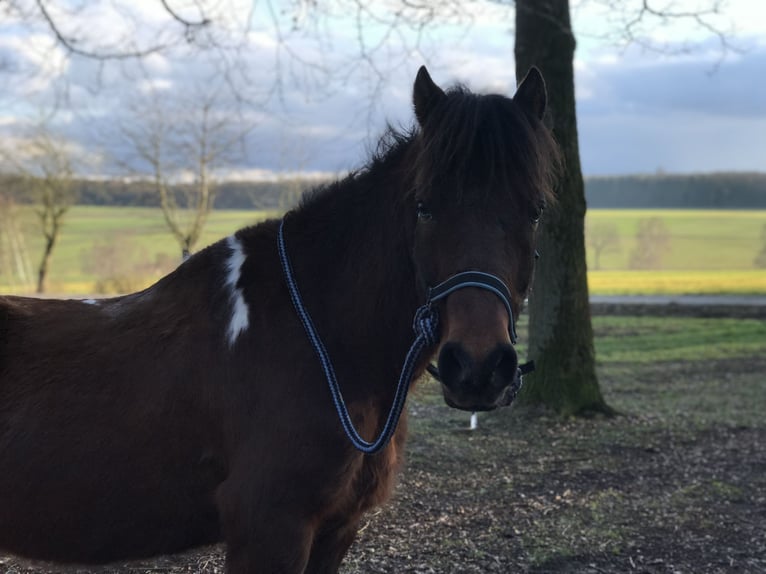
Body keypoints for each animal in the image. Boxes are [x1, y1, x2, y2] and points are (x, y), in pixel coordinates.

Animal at [0, 68, 560, 574]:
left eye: (534, 211)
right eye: (424, 208)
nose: (478, 368)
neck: (321, 341)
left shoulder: (336, 530)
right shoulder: (271, 528)